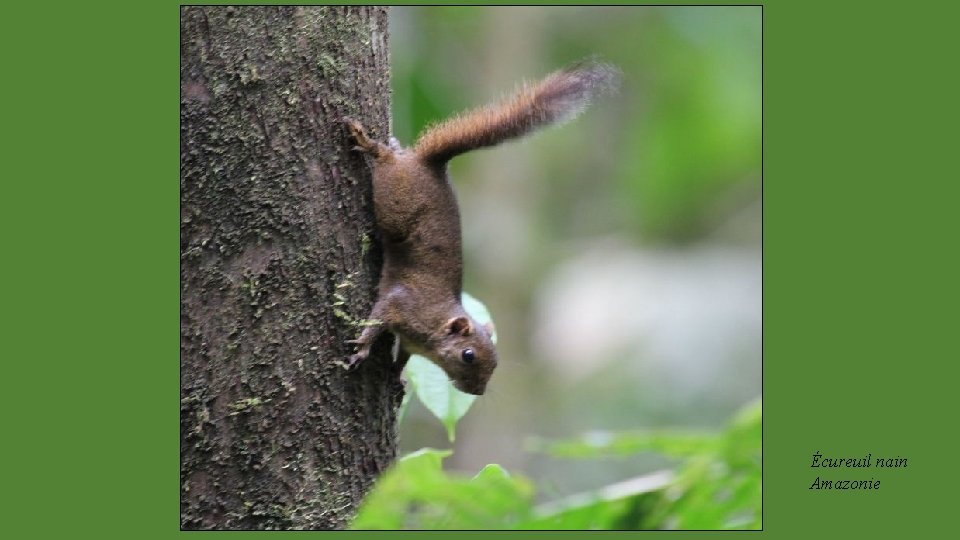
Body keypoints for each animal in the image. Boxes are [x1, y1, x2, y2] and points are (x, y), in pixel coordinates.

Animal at [344, 60, 624, 396]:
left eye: (496, 361)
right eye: (468, 355)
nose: (477, 391)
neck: (436, 324)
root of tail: (431, 165)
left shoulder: (411, 343)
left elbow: (404, 357)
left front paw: (398, 376)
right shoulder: (401, 305)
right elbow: (375, 322)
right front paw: (362, 348)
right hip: (395, 202)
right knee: (385, 164)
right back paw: (373, 145)